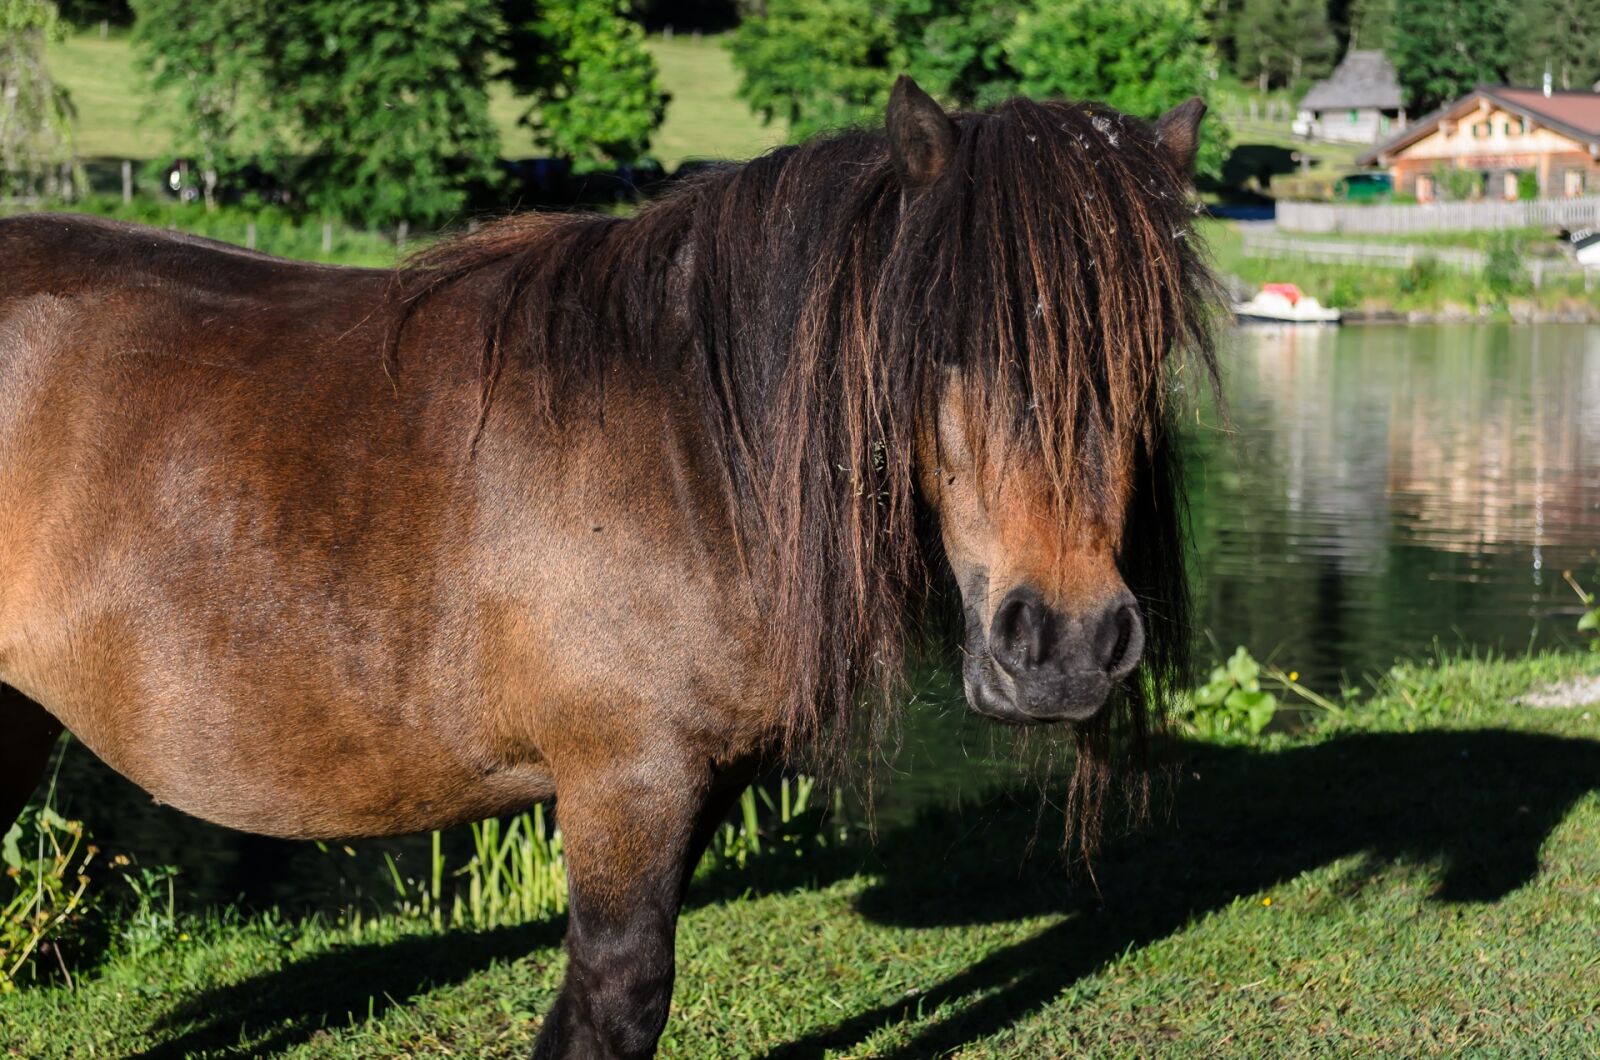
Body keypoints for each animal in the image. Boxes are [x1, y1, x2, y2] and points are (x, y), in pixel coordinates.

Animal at [0, 77, 1216, 1058]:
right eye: (946, 341)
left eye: (1146, 343)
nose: (1064, 648)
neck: (693, 444)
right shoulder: (625, 781)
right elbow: (618, 998)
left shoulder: (696, 786)